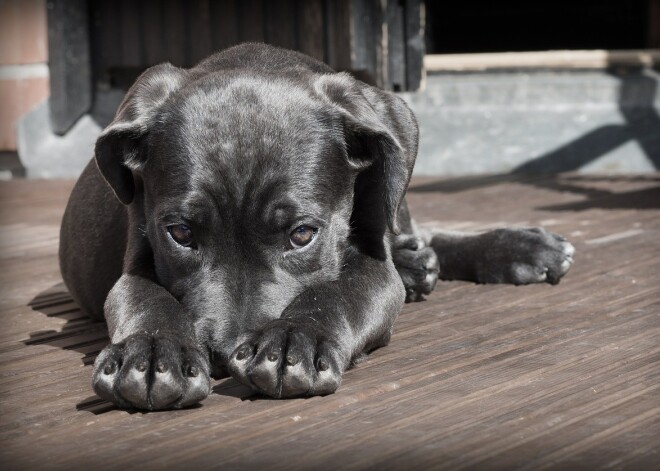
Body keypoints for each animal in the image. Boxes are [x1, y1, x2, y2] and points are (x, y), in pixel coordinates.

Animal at [59, 43, 572, 410]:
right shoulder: (137, 257)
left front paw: (293, 340)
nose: (224, 354)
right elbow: (144, 297)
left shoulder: (372, 265)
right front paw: (150, 353)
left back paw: (517, 248)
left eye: (302, 234)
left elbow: (338, 291)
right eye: (180, 234)